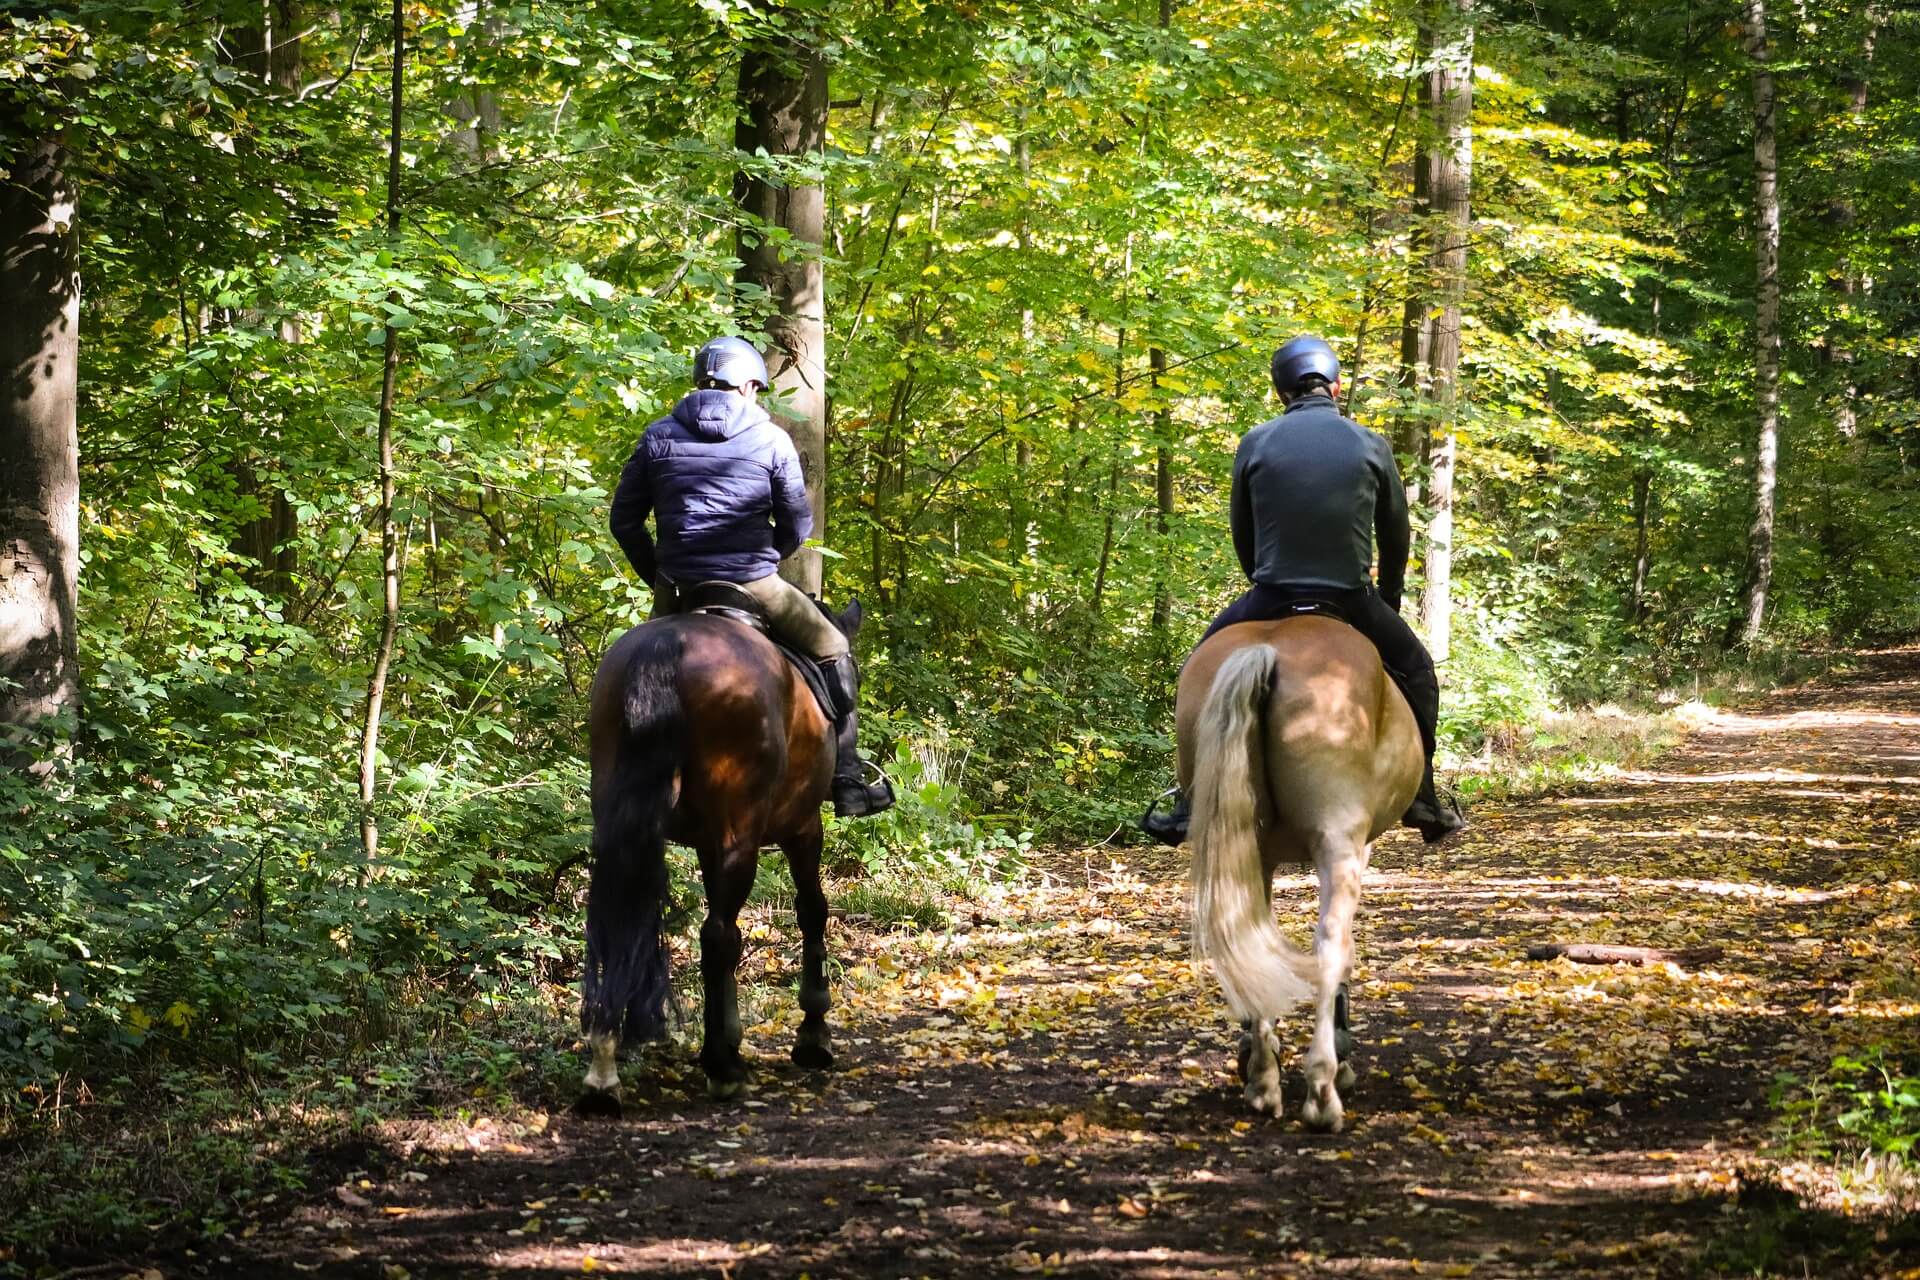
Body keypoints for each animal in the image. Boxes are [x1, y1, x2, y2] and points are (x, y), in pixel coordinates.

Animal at [576, 606, 864, 1105]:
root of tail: (668, 645)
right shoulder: (802, 826)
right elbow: (811, 911)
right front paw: (812, 1035)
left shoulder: (710, 845)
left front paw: (731, 1034)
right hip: (742, 832)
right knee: (716, 936)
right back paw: (721, 1067)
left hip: (625, 826)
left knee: (626, 920)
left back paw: (605, 1070)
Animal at [1167, 617, 1428, 1128]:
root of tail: (1267, 649)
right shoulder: (1359, 846)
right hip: (1337, 842)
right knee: (1328, 944)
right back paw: (1323, 1089)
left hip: (1247, 844)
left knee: (1248, 932)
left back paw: (1263, 1081)